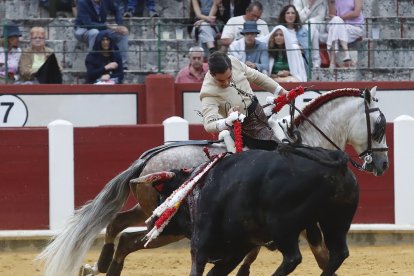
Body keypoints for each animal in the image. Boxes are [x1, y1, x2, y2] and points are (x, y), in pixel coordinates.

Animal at [152, 146, 360, 274]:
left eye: (163, 198)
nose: (154, 220)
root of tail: (332, 156)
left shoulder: (201, 243)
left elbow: (198, 266)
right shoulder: (238, 248)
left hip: (281, 225)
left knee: (293, 257)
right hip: (336, 219)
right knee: (339, 253)